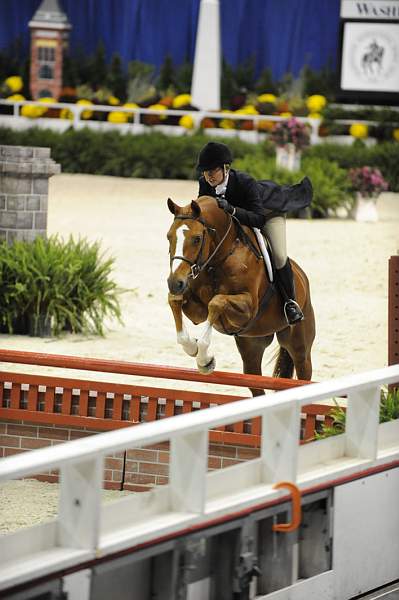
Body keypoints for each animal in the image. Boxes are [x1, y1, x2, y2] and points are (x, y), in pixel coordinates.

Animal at [166, 195, 316, 396]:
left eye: (197, 239)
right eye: (168, 236)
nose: (175, 283)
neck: (219, 259)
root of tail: (302, 277)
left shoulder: (248, 309)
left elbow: (217, 302)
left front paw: (204, 359)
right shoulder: (198, 311)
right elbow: (175, 300)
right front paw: (193, 347)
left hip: (299, 346)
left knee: (303, 368)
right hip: (252, 346)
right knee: (256, 384)